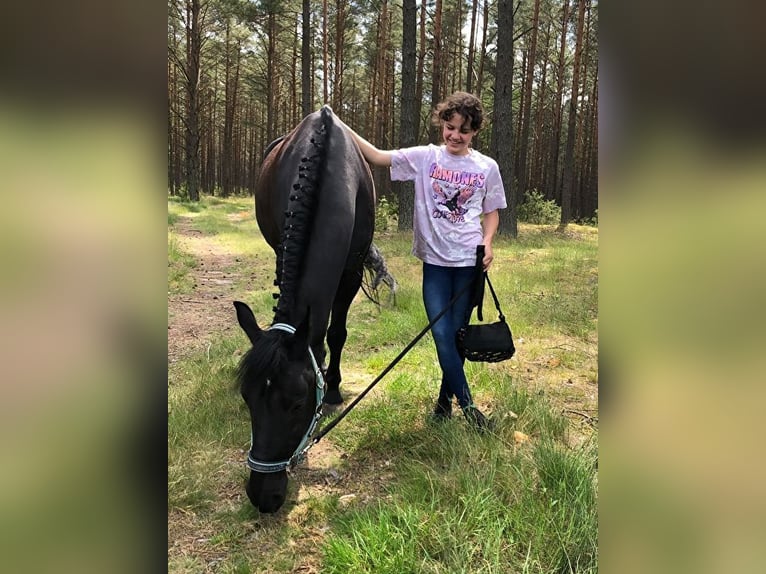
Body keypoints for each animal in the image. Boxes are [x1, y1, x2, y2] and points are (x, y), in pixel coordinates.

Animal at [236, 106, 376, 516]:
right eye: (246, 398)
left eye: (298, 404)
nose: (262, 496)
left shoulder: (351, 270)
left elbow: (336, 332)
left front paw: (332, 389)